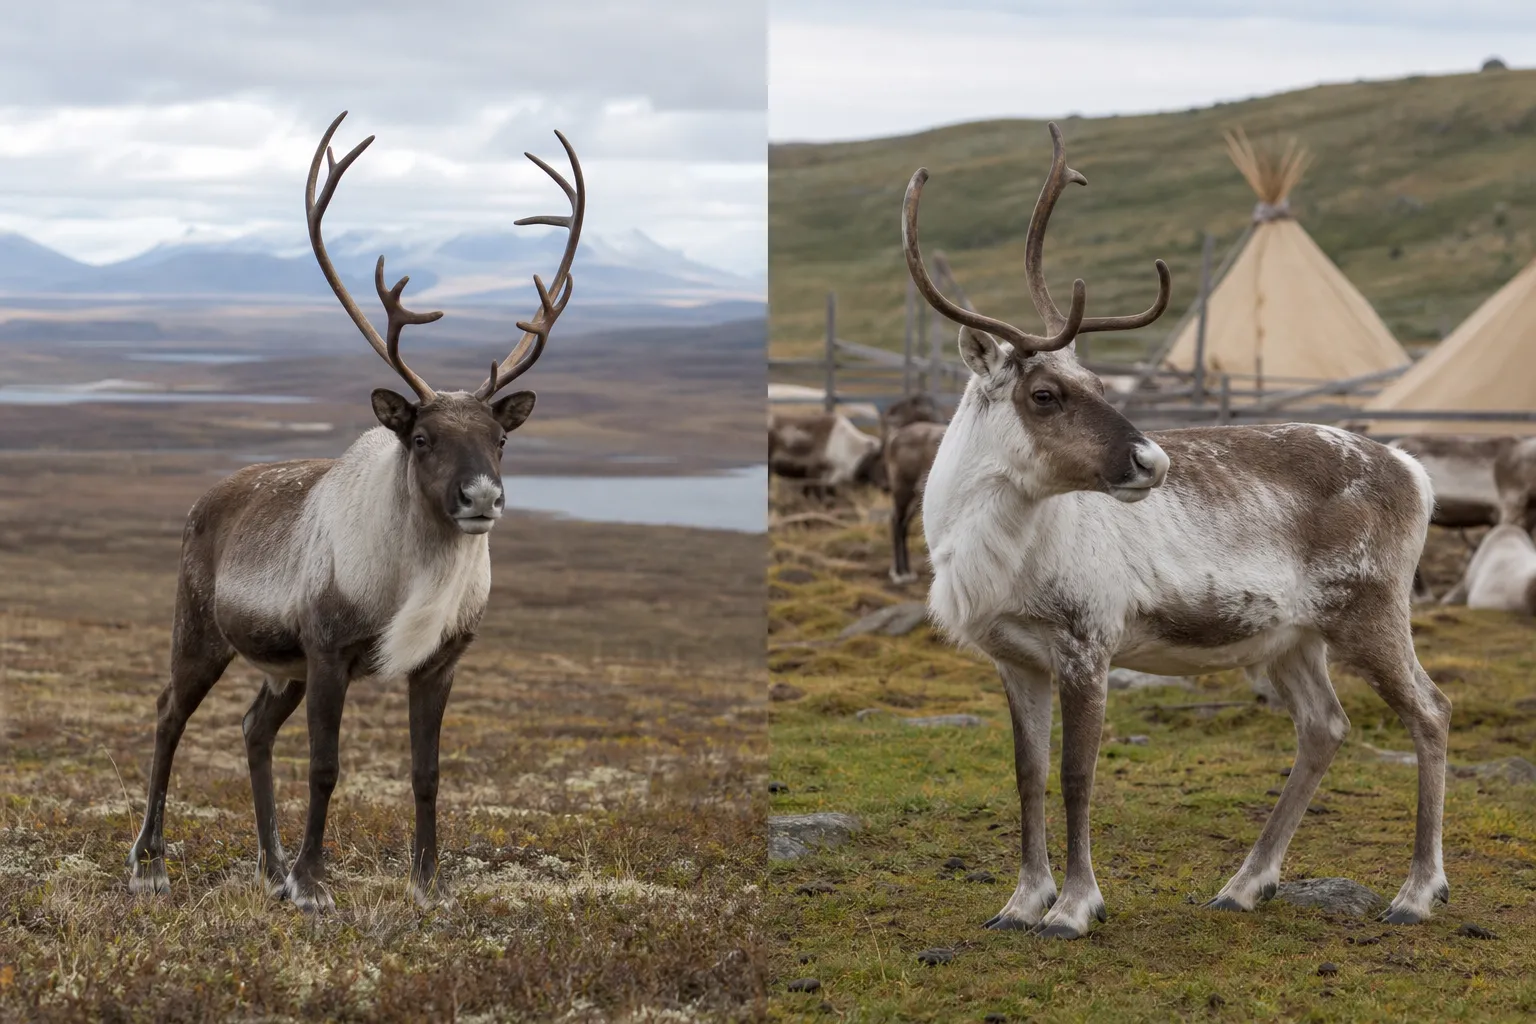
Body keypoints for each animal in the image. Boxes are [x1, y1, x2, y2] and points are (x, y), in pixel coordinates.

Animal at [125, 111, 584, 912]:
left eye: (500, 439)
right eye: (423, 438)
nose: (483, 498)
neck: (411, 580)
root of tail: (205, 500)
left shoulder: (439, 662)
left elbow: (427, 775)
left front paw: (428, 884)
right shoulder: (330, 651)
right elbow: (326, 768)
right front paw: (314, 885)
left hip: (282, 669)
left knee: (253, 728)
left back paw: (269, 864)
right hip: (202, 632)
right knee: (167, 714)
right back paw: (153, 862)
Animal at [903, 122, 1449, 939]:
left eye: (1101, 382)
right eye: (1044, 393)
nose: (1151, 459)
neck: (996, 550)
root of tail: (1413, 469)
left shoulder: (1087, 643)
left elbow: (1076, 775)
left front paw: (1073, 906)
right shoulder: (1014, 657)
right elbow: (1027, 774)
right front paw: (1020, 902)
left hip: (1372, 612)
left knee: (1429, 712)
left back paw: (1416, 892)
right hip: (1291, 637)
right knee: (1325, 726)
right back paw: (1245, 884)